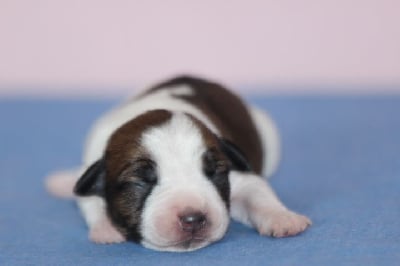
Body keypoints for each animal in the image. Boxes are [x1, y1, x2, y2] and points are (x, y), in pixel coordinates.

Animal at [45, 75, 310, 251]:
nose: (193, 219)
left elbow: (258, 194)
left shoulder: (240, 177)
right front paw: (106, 228)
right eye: (140, 182)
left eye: (214, 172)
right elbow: (89, 200)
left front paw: (283, 219)